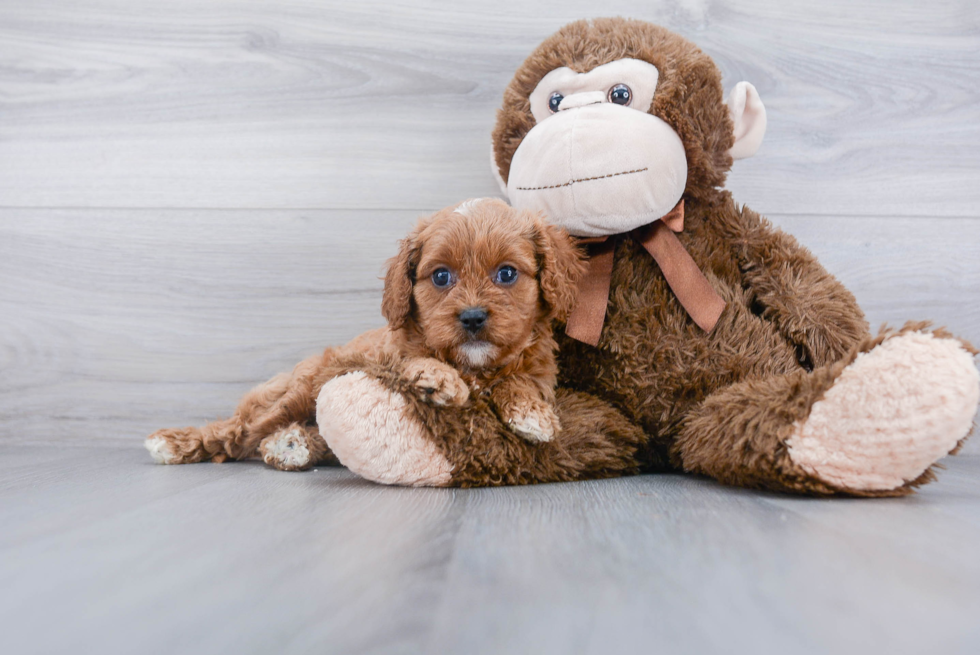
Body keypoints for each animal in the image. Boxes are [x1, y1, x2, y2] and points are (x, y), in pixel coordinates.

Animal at [145, 200, 580, 472]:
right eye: (441, 276)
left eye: (506, 273)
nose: (472, 318)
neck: (474, 365)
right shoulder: (385, 355)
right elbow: (413, 357)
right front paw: (440, 378)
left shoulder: (540, 370)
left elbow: (520, 380)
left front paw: (532, 414)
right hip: (300, 388)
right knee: (237, 433)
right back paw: (179, 443)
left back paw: (291, 446)